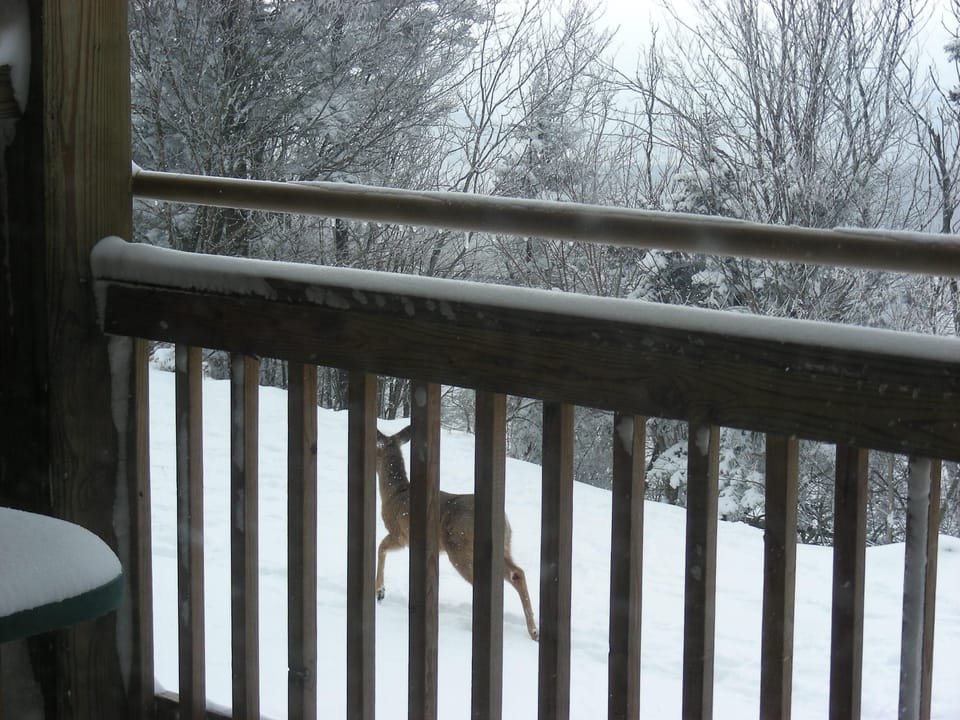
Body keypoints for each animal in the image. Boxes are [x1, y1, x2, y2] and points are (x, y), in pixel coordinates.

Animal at [374, 425, 540, 641]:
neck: (395, 492)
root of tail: (503, 519)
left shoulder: (400, 533)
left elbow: (380, 548)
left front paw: (379, 592)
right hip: (504, 545)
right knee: (517, 573)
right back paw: (534, 631)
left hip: (460, 549)